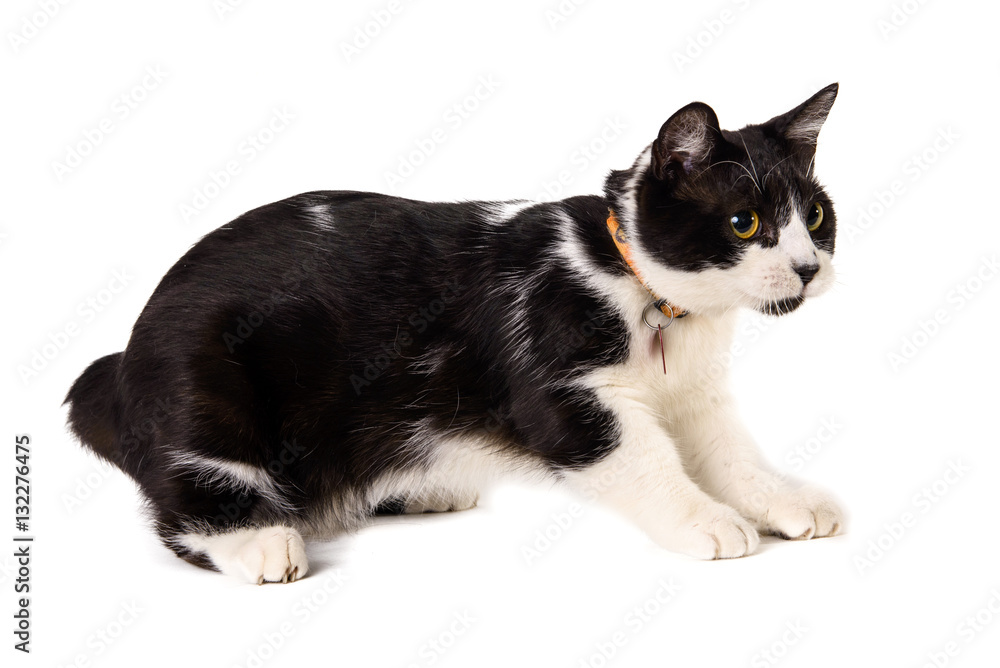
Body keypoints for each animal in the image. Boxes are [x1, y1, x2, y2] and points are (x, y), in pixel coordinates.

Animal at [64, 85, 844, 584]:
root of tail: (126, 356)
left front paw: (784, 499)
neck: (654, 302)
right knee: (190, 497)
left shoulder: (695, 393)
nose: (808, 268)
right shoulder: (559, 385)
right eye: (744, 222)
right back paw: (258, 541)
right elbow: (642, 455)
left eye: (814, 215)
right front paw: (706, 520)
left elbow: (731, 452)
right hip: (206, 385)